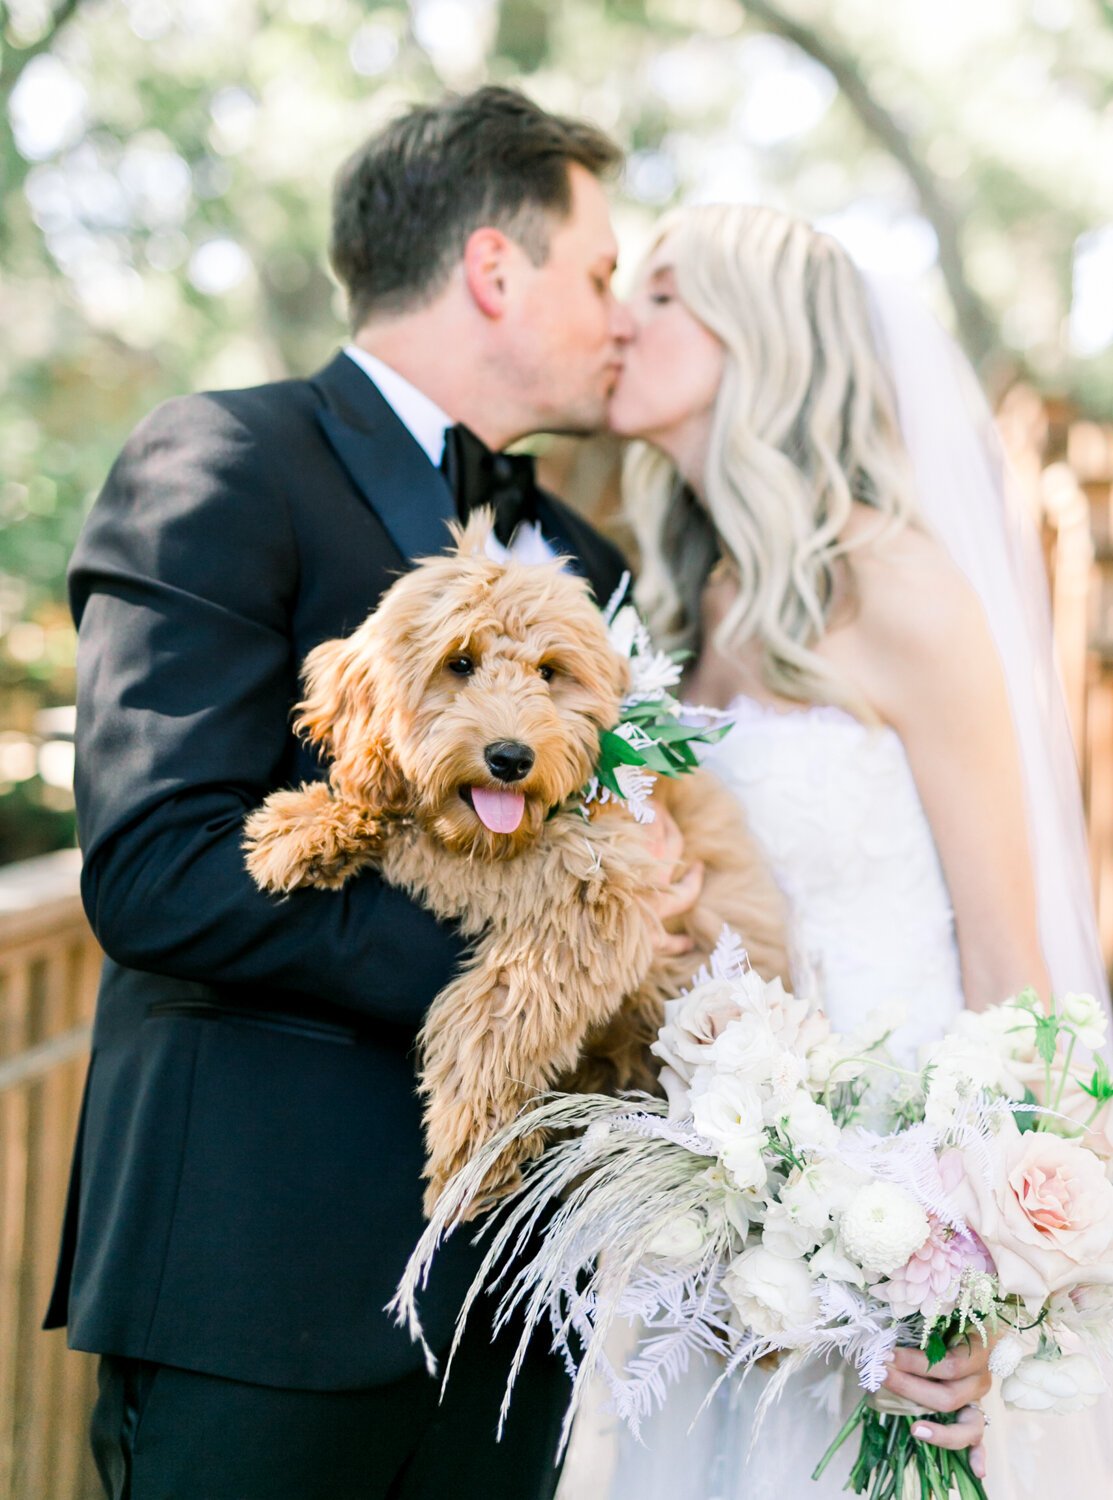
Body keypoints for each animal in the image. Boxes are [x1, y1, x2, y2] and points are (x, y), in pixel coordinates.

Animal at [246, 516, 786, 1218]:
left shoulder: (597, 888)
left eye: (549, 672)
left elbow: (501, 1004)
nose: (510, 758)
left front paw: (470, 1149)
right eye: (459, 662)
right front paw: (310, 824)